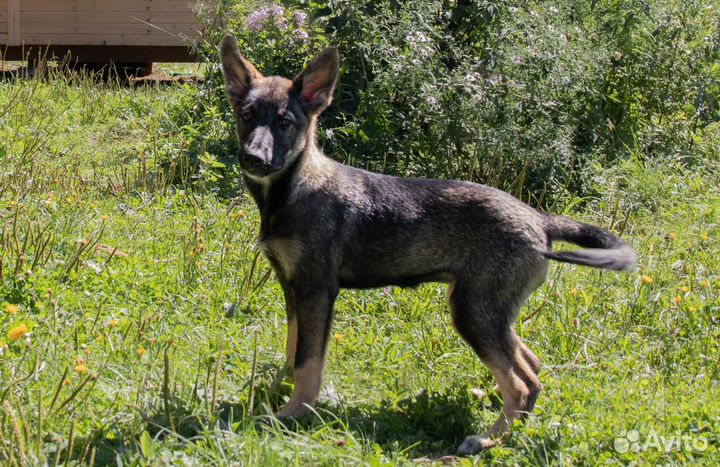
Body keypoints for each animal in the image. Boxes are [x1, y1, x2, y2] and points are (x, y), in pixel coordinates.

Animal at [218, 33, 636, 458]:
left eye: (285, 122)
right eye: (247, 115)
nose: (253, 158)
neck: (290, 191)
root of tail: (540, 220)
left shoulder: (317, 290)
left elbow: (308, 360)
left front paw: (293, 413)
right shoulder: (292, 287)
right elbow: (293, 348)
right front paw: (279, 392)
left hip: (474, 311)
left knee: (520, 383)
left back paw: (486, 439)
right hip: (489, 311)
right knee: (531, 367)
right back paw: (501, 421)